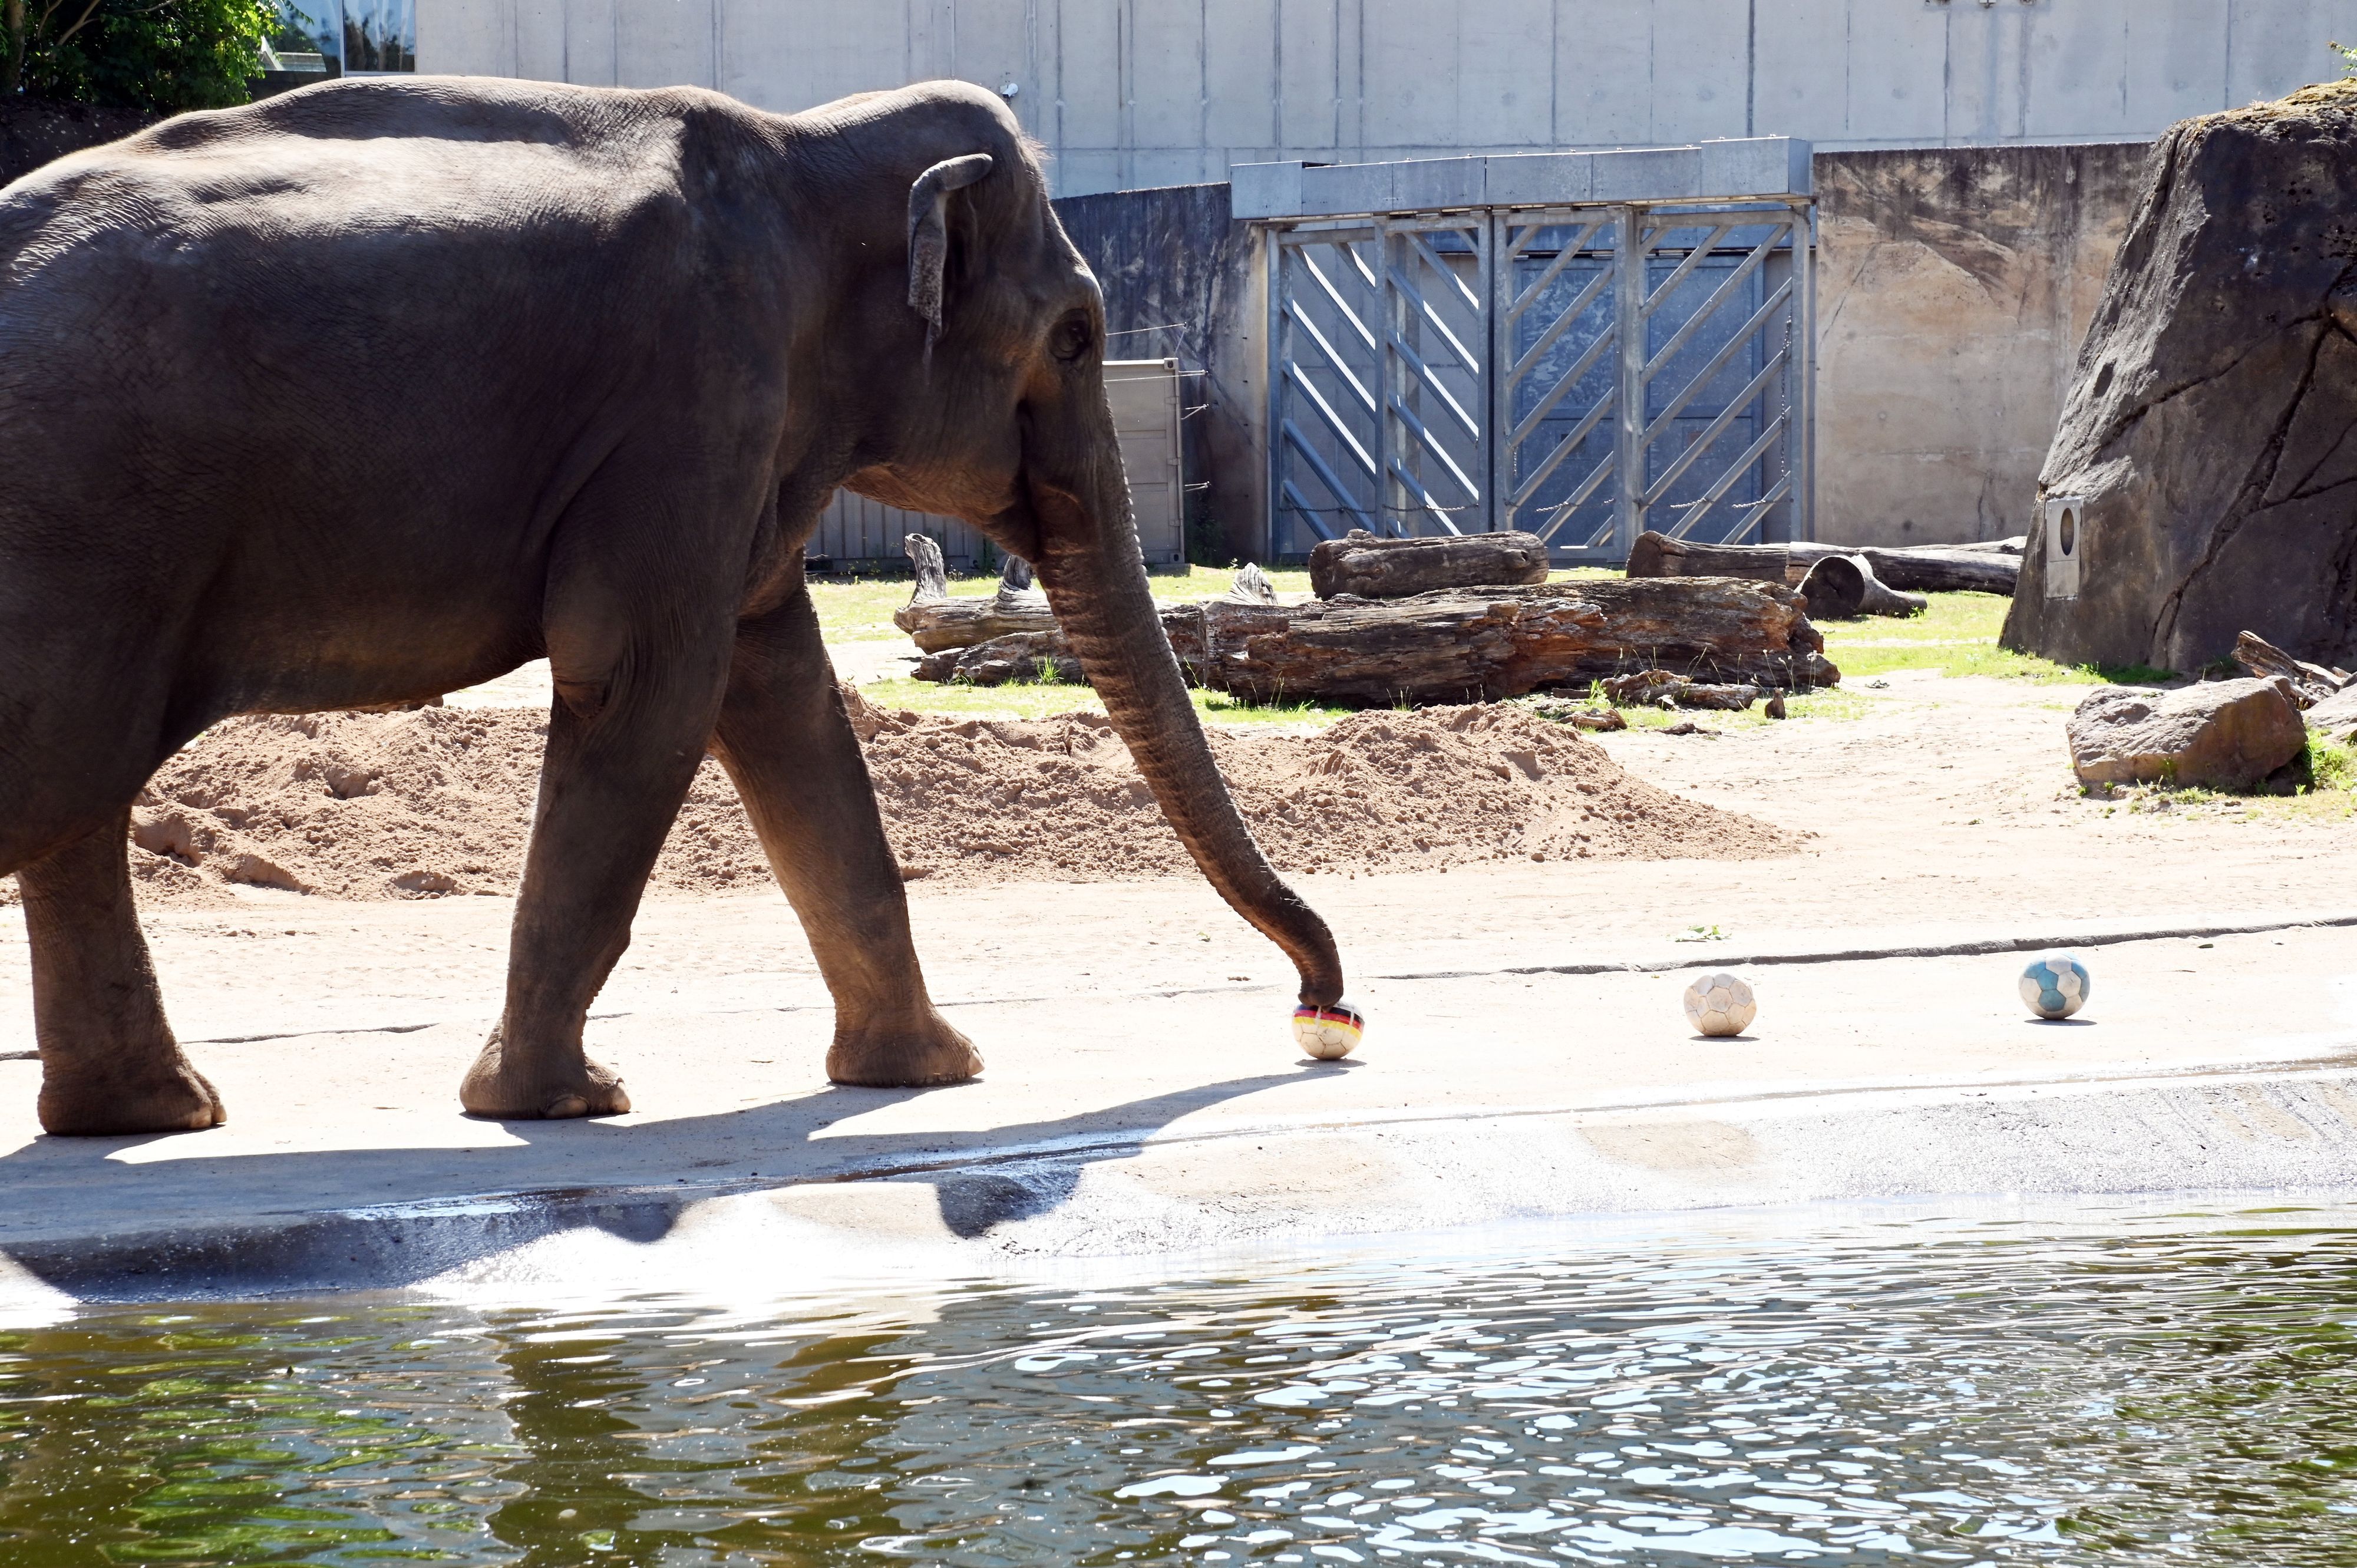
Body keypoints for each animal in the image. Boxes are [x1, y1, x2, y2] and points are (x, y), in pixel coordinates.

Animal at [0, 75, 1346, 1136]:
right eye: (1072, 337)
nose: (1323, 1015)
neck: (808, 150)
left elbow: (782, 695)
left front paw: (928, 1073)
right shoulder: (691, 398)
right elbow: (650, 685)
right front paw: (560, 1102)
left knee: (78, 799)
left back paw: (151, 1115)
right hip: (80, 514)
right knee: (64, 778)